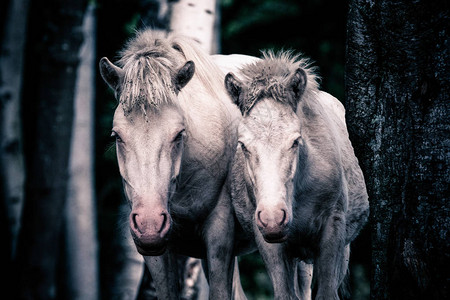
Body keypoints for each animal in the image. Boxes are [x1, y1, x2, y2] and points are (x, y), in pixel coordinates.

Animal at [225, 50, 370, 298]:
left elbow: (326, 294)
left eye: (295, 140)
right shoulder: (270, 242)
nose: (273, 218)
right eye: (243, 145)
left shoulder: (333, 229)